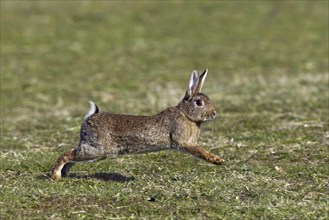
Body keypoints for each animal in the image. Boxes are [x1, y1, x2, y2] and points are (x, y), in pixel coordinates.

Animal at [50, 69, 223, 180]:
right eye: (199, 102)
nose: (214, 113)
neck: (186, 115)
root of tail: (89, 118)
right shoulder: (184, 142)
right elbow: (201, 152)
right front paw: (218, 160)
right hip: (97, 150)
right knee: (67, 154)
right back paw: (55, 176)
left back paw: (64, 175)